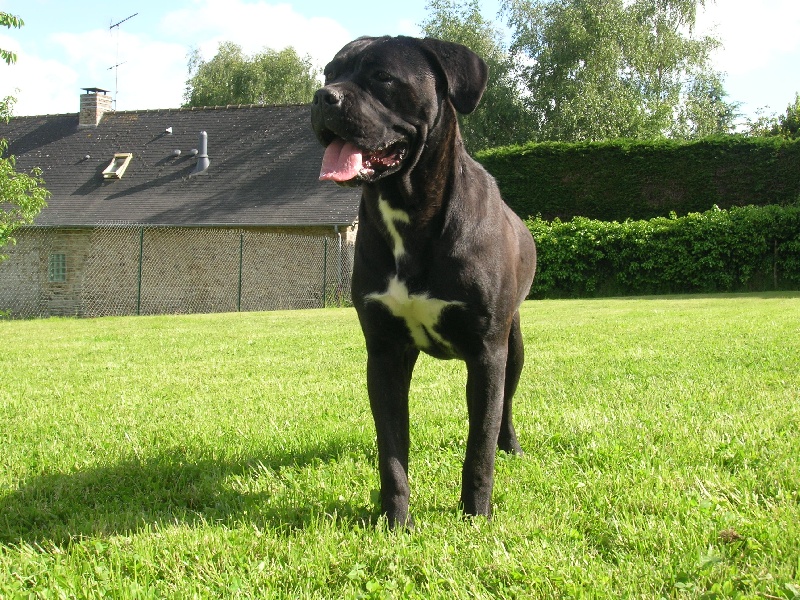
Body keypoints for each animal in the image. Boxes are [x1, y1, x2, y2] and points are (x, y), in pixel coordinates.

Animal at [311, 36, 536, 527]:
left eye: (382, 77)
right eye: (329, 73)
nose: (322, 97)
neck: (409, 209)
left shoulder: (487, 353)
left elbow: (478, 448)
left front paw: (476, 516)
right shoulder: (386, 352)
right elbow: (392, 449)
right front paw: (395, 520)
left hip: (512, 346)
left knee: (505, 407)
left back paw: (510, 445)